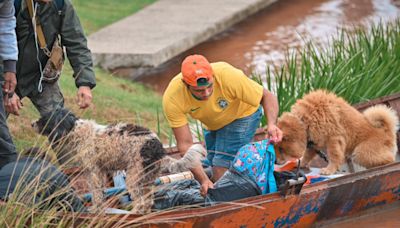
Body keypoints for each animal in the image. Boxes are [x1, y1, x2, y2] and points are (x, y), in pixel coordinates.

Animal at [31, 108, 206, 213]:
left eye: (44, 119)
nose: (32, 123)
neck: (77, 130)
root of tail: (159, 148)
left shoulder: (94, 171)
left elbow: (96, 194)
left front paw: (95, 210)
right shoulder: (101, 171)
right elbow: (100, 193)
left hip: (134, 177)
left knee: (141, 202)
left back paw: (132, 215)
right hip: (147, 179)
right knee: (148, 202)